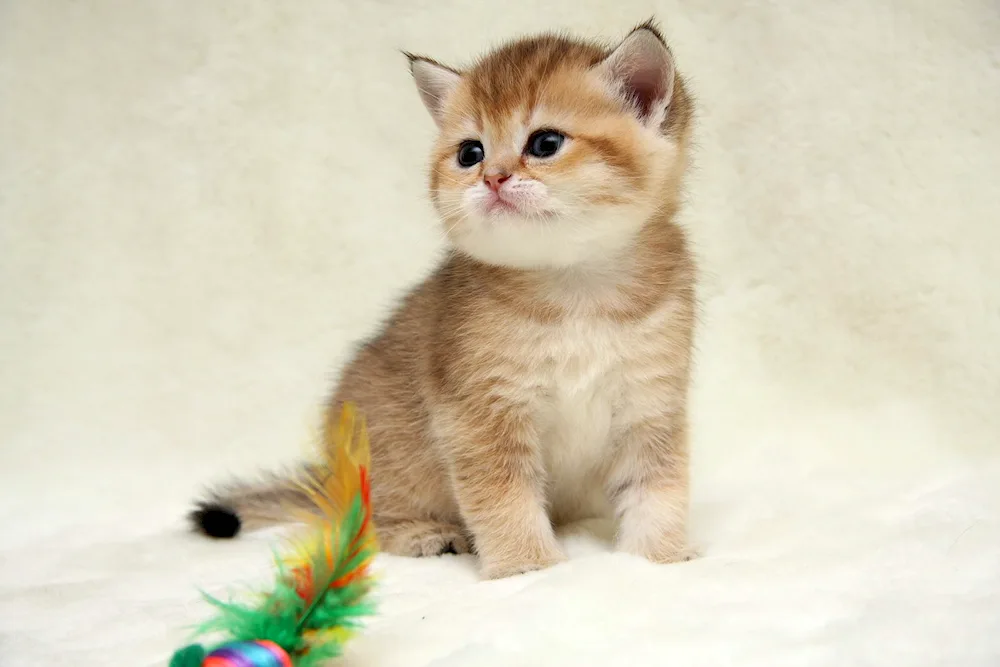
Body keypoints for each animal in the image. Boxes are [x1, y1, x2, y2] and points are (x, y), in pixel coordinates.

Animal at [193, 20, 696, 580]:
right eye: (469, 153)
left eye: (545, 143)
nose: (493, 177)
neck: (575, 287)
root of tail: (328, 477)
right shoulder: (478, 413)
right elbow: (503, 497)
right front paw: (528, 567)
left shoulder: (650, 405)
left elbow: (659, 488)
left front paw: (658, 557)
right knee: (364, 520)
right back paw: (422, 533)